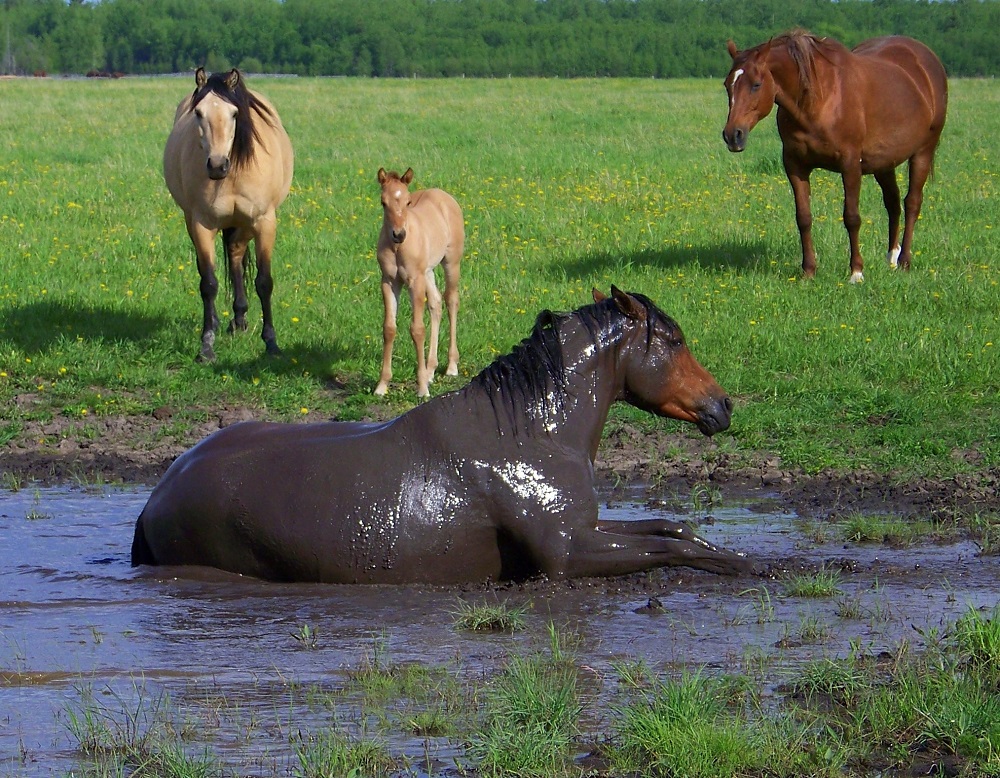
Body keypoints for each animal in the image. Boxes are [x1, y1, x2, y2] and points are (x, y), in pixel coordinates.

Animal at [131, 287, 750, 584]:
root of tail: (155, 499)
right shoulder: (567, 553)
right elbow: (669, 547)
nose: (722, 405)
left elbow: (673, 529)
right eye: (673, 340)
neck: (534, 432)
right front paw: (744, 566)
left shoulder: (586, 529)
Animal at [163, 68, 294, 362]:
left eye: (235, 114)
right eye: (198, 113)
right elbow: (209, 283)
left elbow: (264, 282)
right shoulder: (201, 224)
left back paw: (240, 318)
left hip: (243, 224)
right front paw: (206, 346)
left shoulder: (264, 222)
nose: (217, 165)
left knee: (235, 254)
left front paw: (271, 343)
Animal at [375, 167, 463, 397]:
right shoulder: (389, 282)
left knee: (451, 300)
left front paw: (422, 387)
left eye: (407, 202)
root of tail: (443, 195)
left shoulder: (415, 282)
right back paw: (431, 369)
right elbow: (389, 328)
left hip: (451, 262)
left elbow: (417, 329)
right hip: (428, 272)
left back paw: (451, 366)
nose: (399, 234)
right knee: (436, 303)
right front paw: (382, 385)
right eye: (383, 202)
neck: (398, 248)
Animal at [722, 31, 947, 283]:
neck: (819, 100)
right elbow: (803, 218)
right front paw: (808, 271)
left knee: (912, 203)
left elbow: (852, 217)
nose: (732, 135)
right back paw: (892, 257)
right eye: (727, 85)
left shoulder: (850, 165)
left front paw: (856, 272)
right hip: (883, 162)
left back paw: (905, 261)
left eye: (756, 84)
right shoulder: (795, 165)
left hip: (923, 152)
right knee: (893, 202)